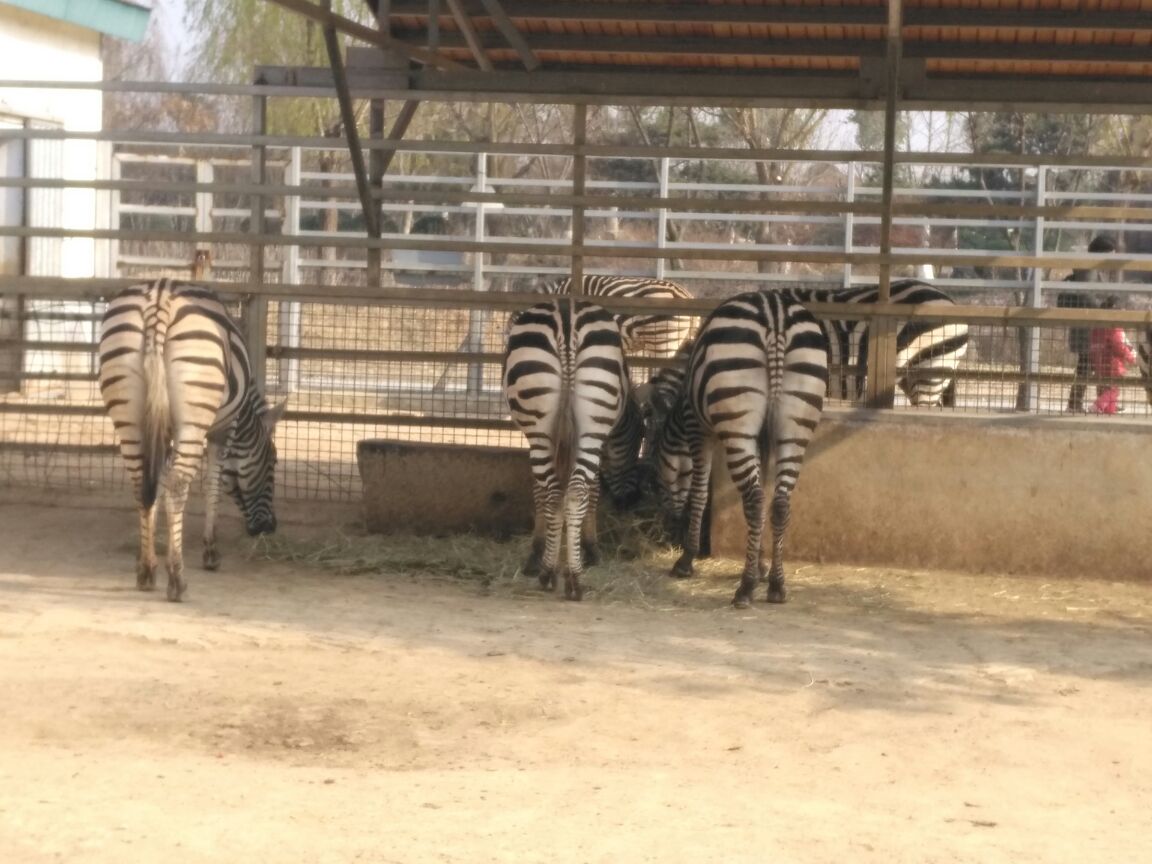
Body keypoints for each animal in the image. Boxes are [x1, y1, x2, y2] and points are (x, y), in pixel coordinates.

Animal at [101, 278, 285, 603]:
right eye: (272, 462)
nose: (269, 527)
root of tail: (159, 295)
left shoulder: (163, 430)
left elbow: (157, 485)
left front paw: (150, 553)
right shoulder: (221, 431)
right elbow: (213, 486)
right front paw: (210, 551)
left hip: (128, 412)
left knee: (140, 483)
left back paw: (146, 571)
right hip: (193, 415)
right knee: (177, 485)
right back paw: (177, 579)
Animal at [502, 297, 640, 603]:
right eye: (637, 442)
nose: (627, 502)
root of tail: (567, 317)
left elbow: (543, 491)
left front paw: (542, 552)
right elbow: (590, 489)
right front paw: (588, 548)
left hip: (545, 427)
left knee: (558, 492)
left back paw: (555, 573)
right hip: (587, 422)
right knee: (571, 491)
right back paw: (568, 576)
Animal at [649, 291, 829, 608]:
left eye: (657, 470)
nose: (668, 523)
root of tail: (775, 312)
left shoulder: (699, 430)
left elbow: (700, 494)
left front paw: (686, 560)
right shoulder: (761, 438)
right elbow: (765, 491)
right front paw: (761, 565)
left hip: (737, 416)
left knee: (755, 501)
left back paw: (745, 589)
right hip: (794, 422)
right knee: (779, 503)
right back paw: (776, 586)